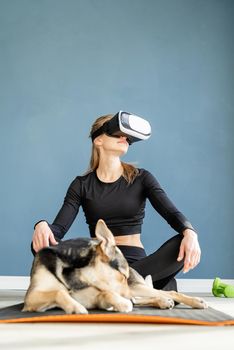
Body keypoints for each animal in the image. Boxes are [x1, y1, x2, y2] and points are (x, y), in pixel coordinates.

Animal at [22, 219, 207, 314]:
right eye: (121, 276)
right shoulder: (31, 297)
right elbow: (59, 292)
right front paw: (75, 307)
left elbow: (111, 296)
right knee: (144, 299)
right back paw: (162, 302)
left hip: (137, 287)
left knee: (167, 292)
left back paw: (194, 301)